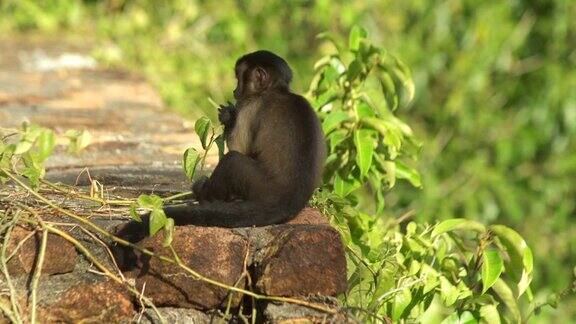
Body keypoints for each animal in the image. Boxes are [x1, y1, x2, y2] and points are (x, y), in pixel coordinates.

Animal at [120, 50, 326, 233]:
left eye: (239, 78)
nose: (235, 90)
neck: (275, 90)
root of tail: (289, 200)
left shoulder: (250, 106)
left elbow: (239, 147)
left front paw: (228, 116)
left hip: (261, 186)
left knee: (232, 160)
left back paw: (204, 193)